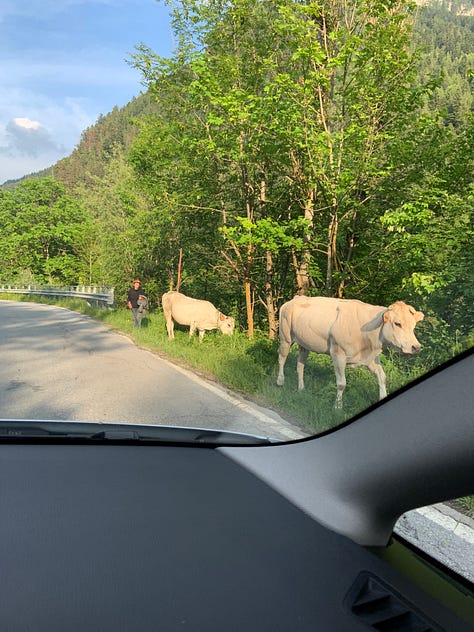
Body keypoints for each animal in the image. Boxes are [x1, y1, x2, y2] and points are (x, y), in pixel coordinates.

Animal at [276, 298, 424, 410]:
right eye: (397, 323)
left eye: (413, 325)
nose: (416, 347)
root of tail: (294, 299)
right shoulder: (338, 353)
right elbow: (342, 383)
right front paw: (338, 406)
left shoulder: (370, 357)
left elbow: (382, 377)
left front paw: (382, 396)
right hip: (286, 337)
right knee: (282, 358)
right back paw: (280, 381)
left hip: (304, 344)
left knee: (300, 365)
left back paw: (301, 388)